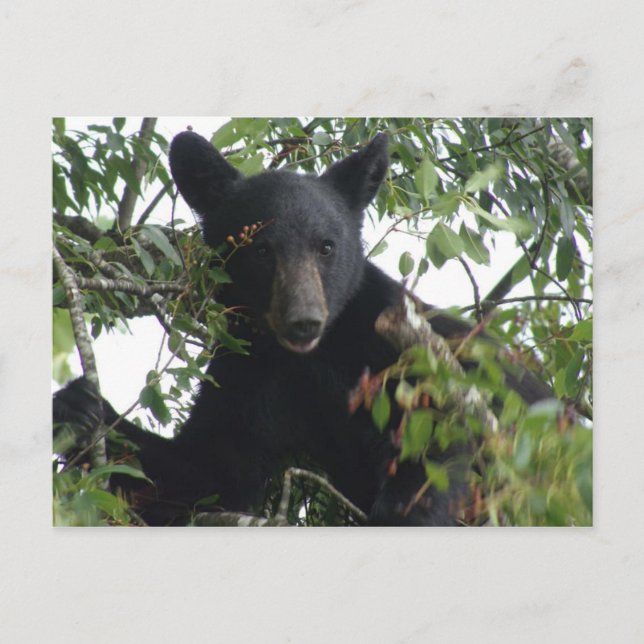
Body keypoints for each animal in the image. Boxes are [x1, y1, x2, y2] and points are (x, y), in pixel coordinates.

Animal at [54, 131, 550, 526]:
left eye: (325, 246)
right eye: (260, 249)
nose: (303, 320)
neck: (318, 358)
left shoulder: (400, 350)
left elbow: (435, 438)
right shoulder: (250, 373)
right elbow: (208, 473)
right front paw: (79, 408)